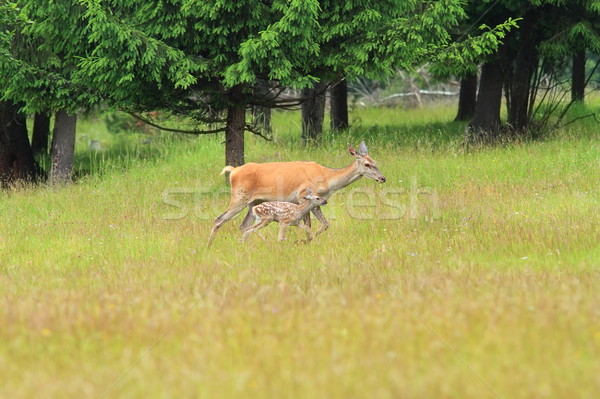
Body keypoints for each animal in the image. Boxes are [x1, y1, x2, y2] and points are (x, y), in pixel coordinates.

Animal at [207, 141, 384, 247]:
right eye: (367, 164)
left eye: (375, 162)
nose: (383, 178)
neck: (328, 180)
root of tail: (233, 171)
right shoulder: (303, 195)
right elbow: (311, 224)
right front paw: (305, 241)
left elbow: (325, 224)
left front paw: (306, 240)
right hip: (239, 197)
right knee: (219, 219)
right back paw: (208, 245)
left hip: (254, 202)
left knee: (243, 225)